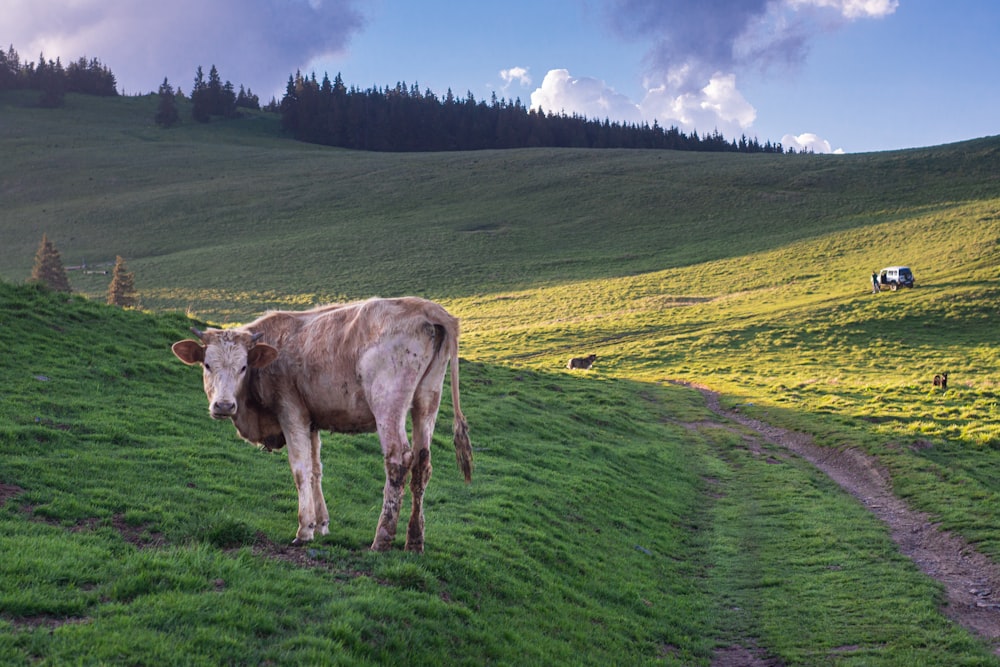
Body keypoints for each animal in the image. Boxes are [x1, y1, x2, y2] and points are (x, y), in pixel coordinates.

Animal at [172, 298, 472, 552]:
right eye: (207, 365)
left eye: (243, 367)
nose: (223, 406)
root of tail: (426, 307)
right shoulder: (312, 420)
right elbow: (316, 470)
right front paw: (322, 524)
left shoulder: (291, 411)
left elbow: (301, 469)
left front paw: (305, 529)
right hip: (427, 400)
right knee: (422, 464)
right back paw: (414, 541)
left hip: (388, 403)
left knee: (398, 460)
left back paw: (382, 539)